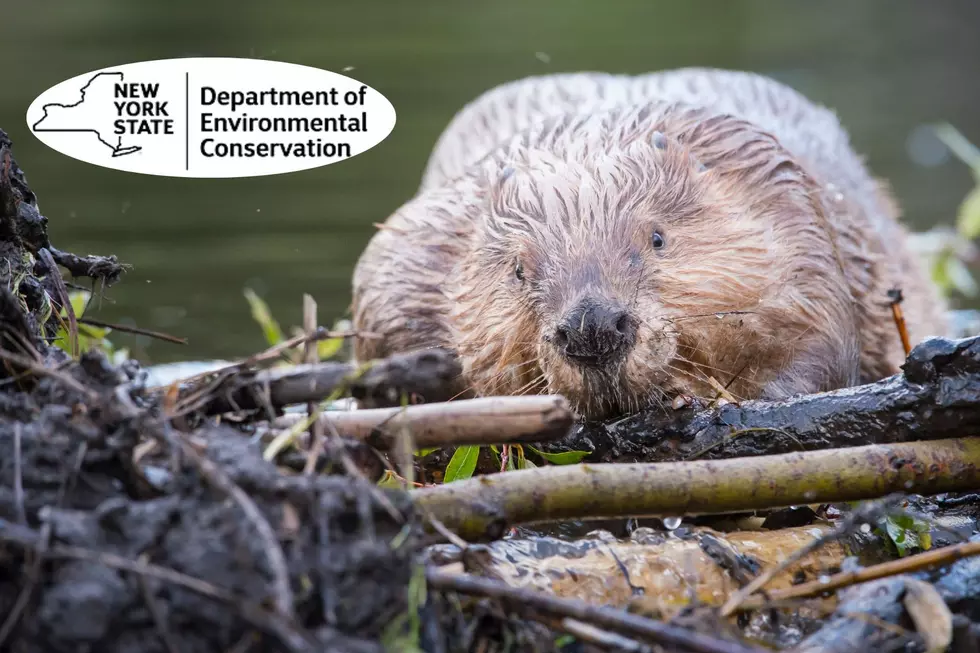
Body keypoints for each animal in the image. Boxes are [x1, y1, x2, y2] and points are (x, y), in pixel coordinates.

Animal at [350, 69, 940, 420]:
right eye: (517, 270)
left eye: (657, 238)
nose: (592, 329)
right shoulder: (414, 252)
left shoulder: (789, 208)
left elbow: (819, 345)